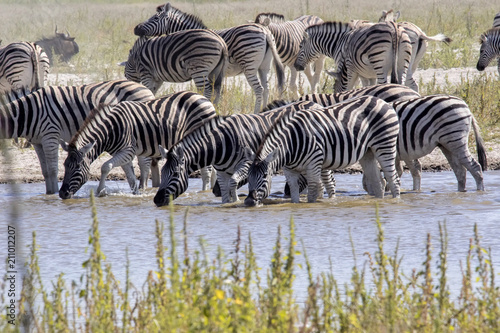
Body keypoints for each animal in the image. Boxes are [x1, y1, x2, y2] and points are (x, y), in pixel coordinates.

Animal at [0, 79, 154, 193]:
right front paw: (48, 194)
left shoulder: (50, 135)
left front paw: (54, 194)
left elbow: (53, 170)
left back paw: (143, 188)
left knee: (144, 163)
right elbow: (45, 171)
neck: (28, 112)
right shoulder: (37, 142)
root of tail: (144, 87)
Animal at [58, 91, 217, 198]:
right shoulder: (123, 154)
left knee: (206, 172)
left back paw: (203, 192)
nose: (62, 194)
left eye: (77, 168)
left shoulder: (128, 150)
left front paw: (100, 191)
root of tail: (205, 99)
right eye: (65, 166)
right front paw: (136, 194)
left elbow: (105, 166)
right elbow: (130, 178)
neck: (110, 130)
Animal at [133, 1, 286, 113]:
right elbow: (217, 93)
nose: (136, 29)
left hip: (249, 64)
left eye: (155, 18)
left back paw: (255, 112)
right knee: (266, 89)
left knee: (259, 89)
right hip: (263, 66)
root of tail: (265, 31)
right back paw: (263, 111)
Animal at [150, 100, 320, 206]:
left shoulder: (245, 164)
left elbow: (233, 182)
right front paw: (227, 202)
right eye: (162, 172)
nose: (156, 200)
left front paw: (236, 200)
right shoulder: (221, 171)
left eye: (174, 174)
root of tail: (314, 103)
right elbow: (225, 191)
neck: (219, 144)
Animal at [244, 94, 400, 205]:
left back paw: (395, 201)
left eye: (265, 176)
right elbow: (294, 196)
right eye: (248, 177)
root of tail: (383, 101)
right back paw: (377, 202)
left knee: (394, 179)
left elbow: (313, 193)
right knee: (378, 182)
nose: (249, 201)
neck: (290, 146)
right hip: (368, 151)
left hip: (385, 144)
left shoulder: (314, 163)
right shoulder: (290, 171)